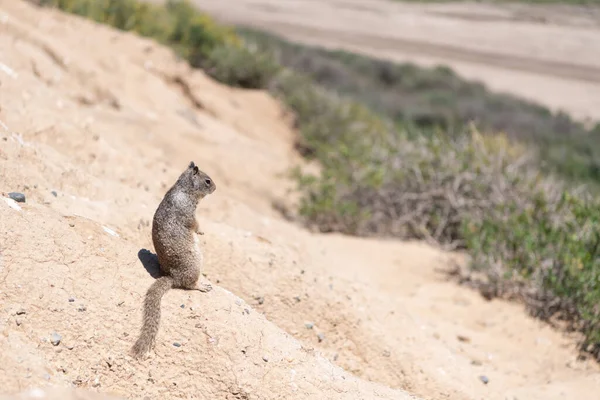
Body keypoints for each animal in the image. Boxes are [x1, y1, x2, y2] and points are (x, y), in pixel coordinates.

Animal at [130, 161, 217, 358]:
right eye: (208, 181)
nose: (216, 188)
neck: (184, 189)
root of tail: (172, 277)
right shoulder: (189, 214)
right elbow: (195, 224)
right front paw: (201, 231)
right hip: (195, 265)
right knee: (190, 285)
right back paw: (202, 286)